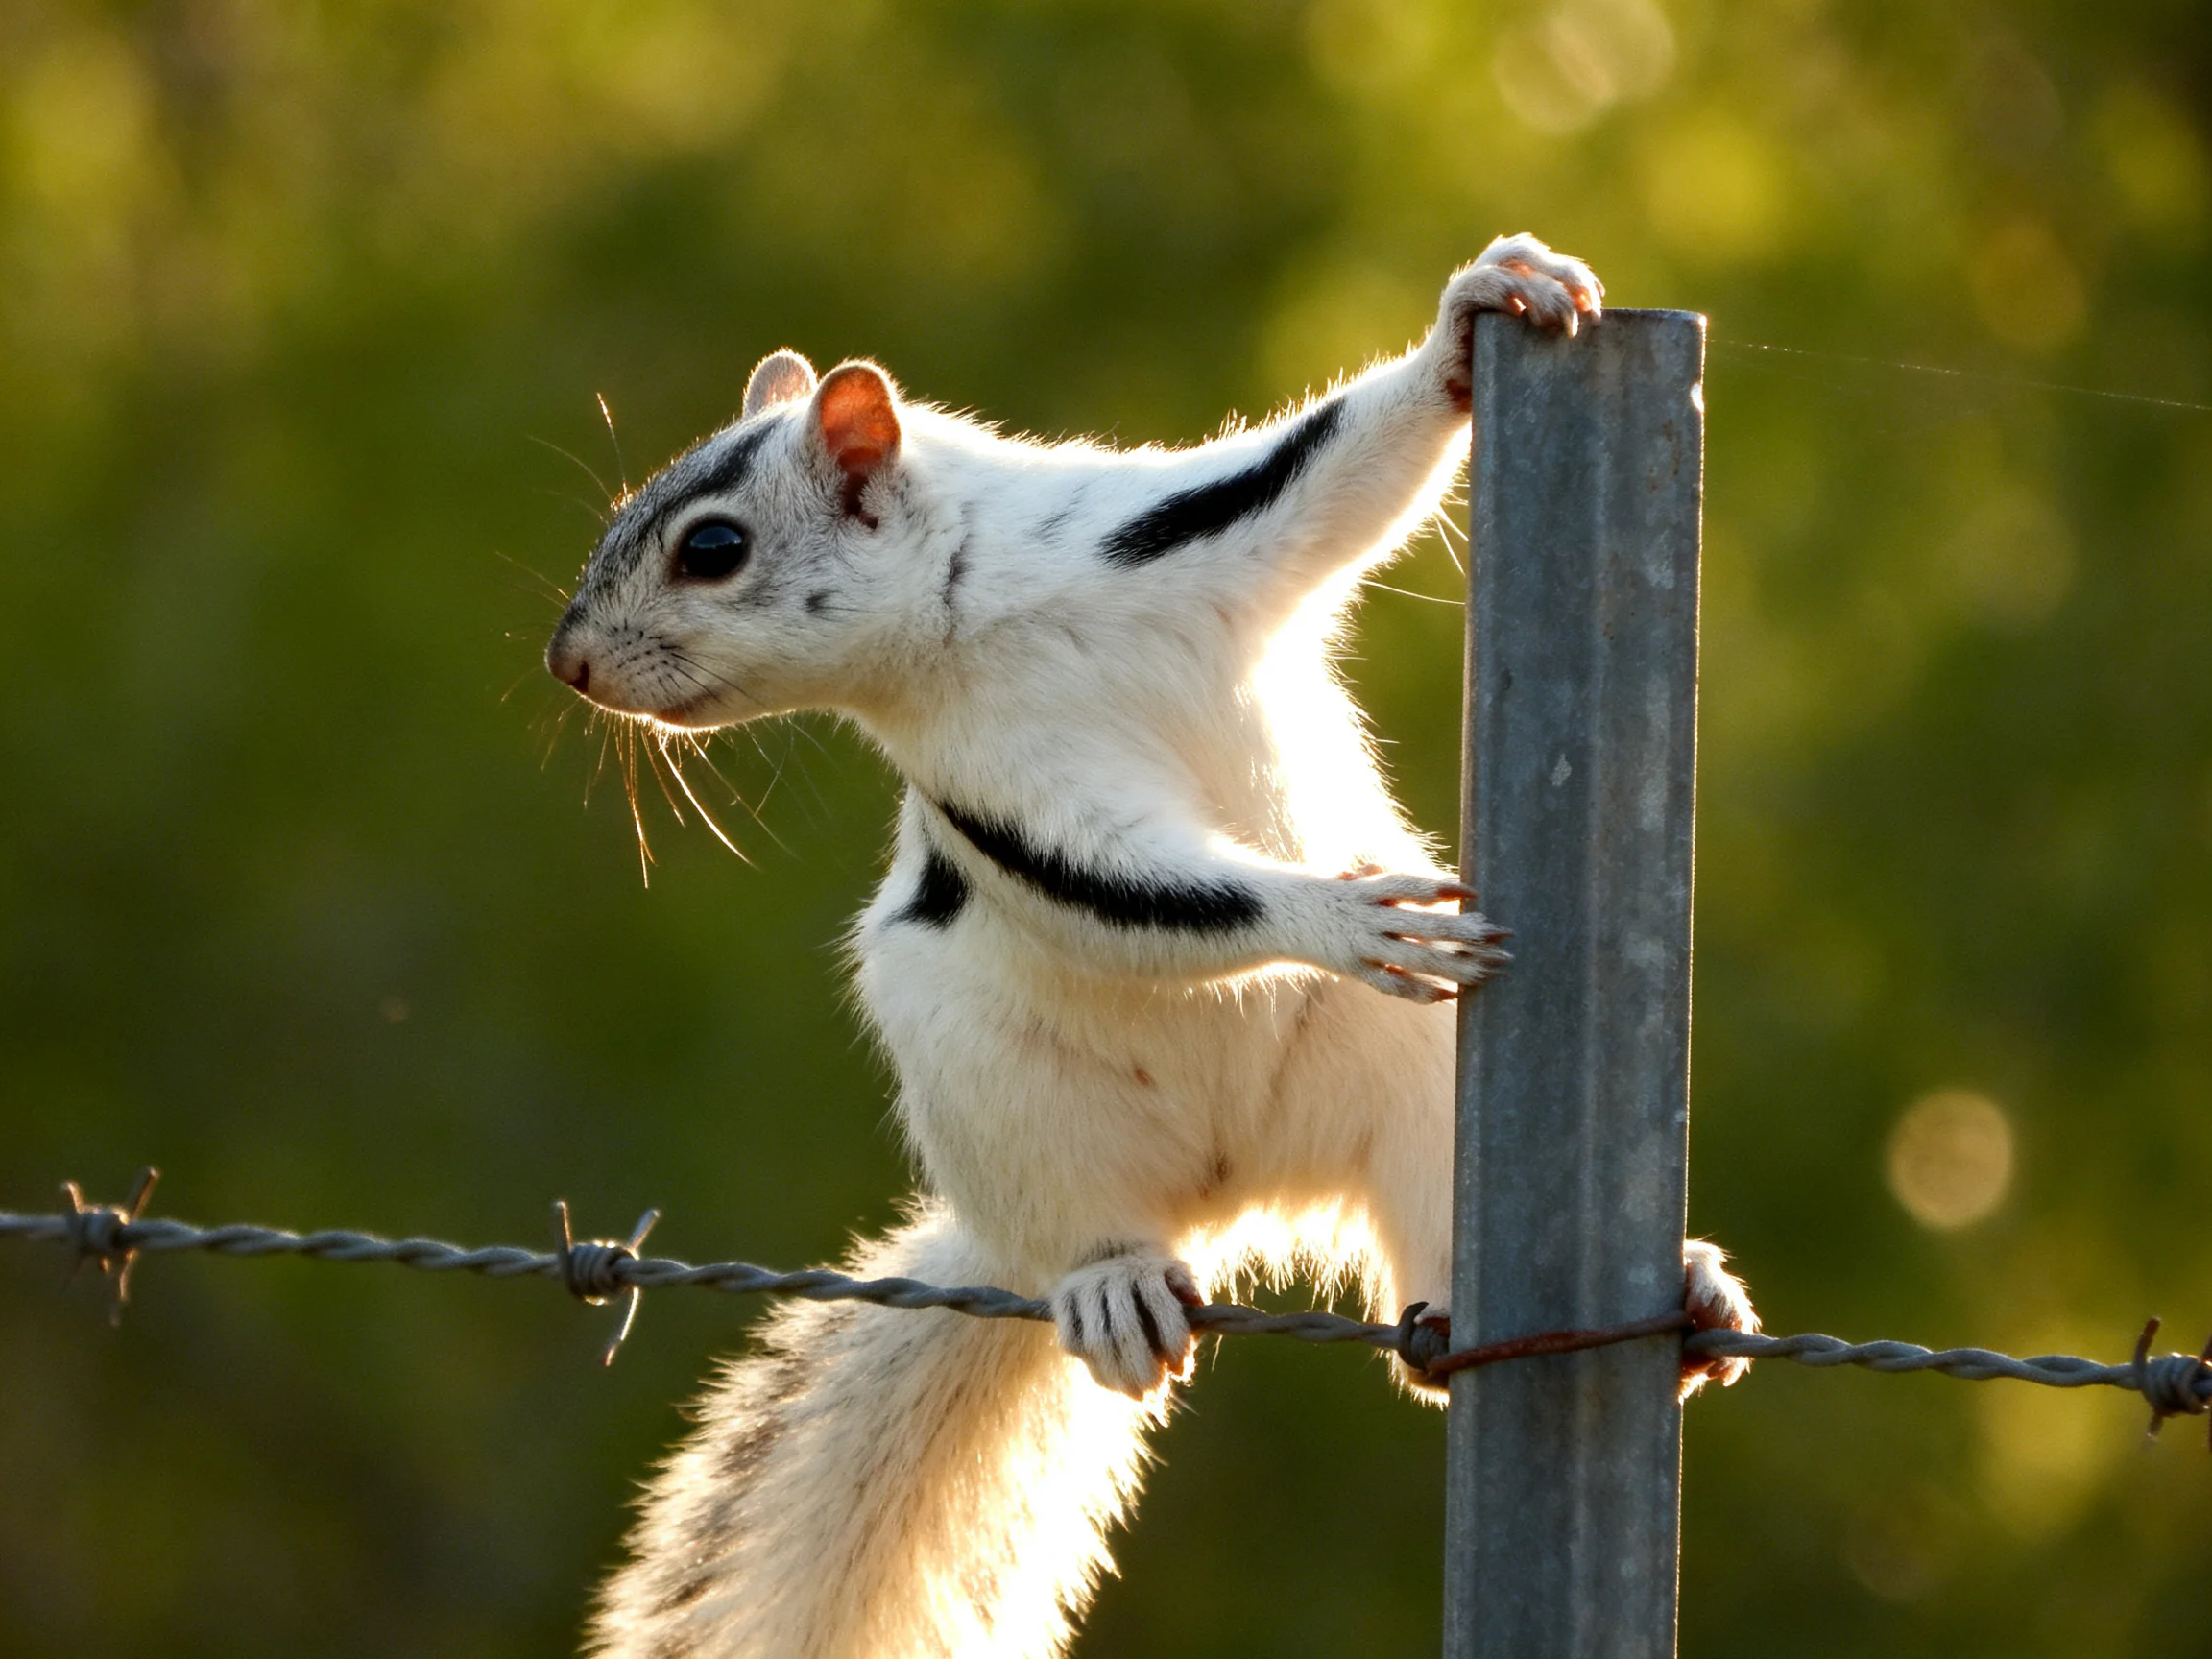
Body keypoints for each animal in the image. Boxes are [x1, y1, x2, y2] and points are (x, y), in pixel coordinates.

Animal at [545, 233, 1758, 1659]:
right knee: (1082, 1234)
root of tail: (1232, 1186)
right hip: (1002, 1105)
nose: (567, 662)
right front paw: (1344, 915)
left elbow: (1347, 470)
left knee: (1437, 1290)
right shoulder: (1009, 798)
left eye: (713, 547)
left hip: (1416, 1089)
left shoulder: (1182, 532)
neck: (981, 618)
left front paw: (1481, 312)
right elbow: (1145, 894)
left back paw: (1664, 1300)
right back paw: (1113, 1285)